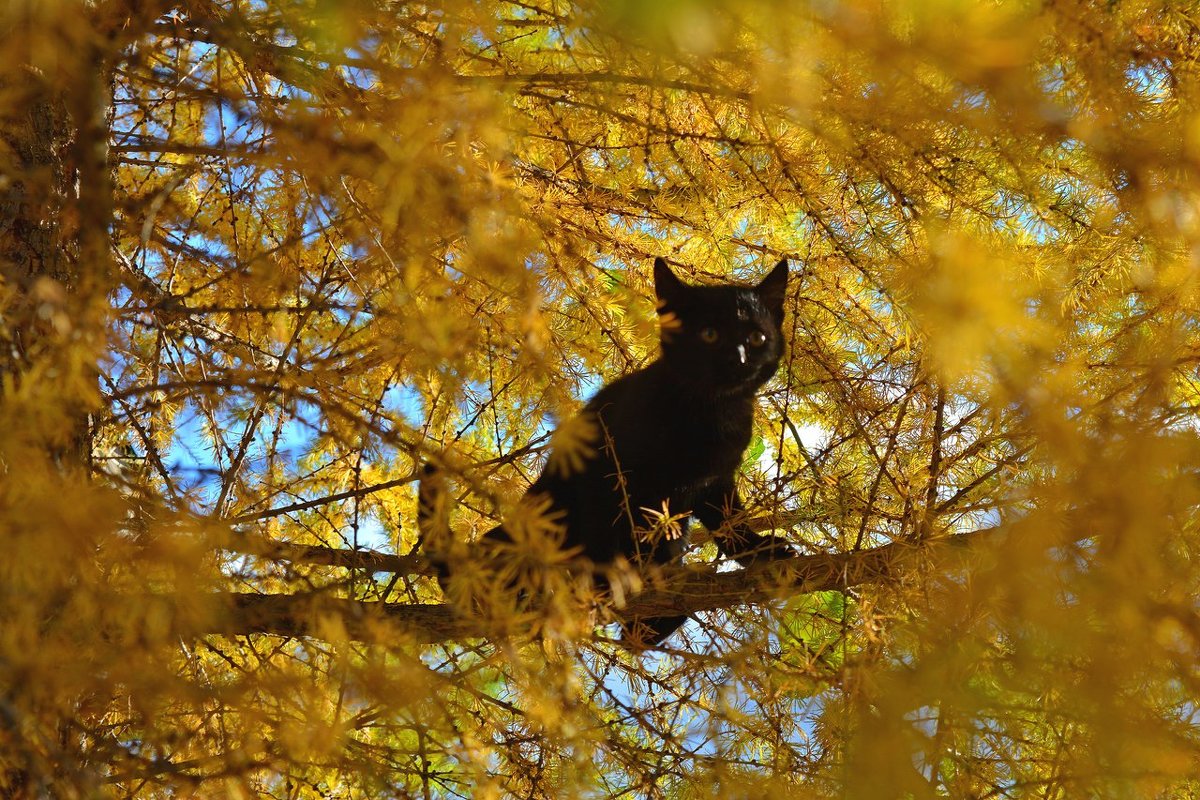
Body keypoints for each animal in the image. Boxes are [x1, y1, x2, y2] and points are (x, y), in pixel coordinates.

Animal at [422, 260, 796, 647]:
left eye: (756, 338)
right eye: (709, 334)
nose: (738, 359)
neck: (712, 412)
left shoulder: (713, 483)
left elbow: (731, 524)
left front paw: (762, 552)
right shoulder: (605, 473)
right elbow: (602, 532)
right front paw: (606, 581)